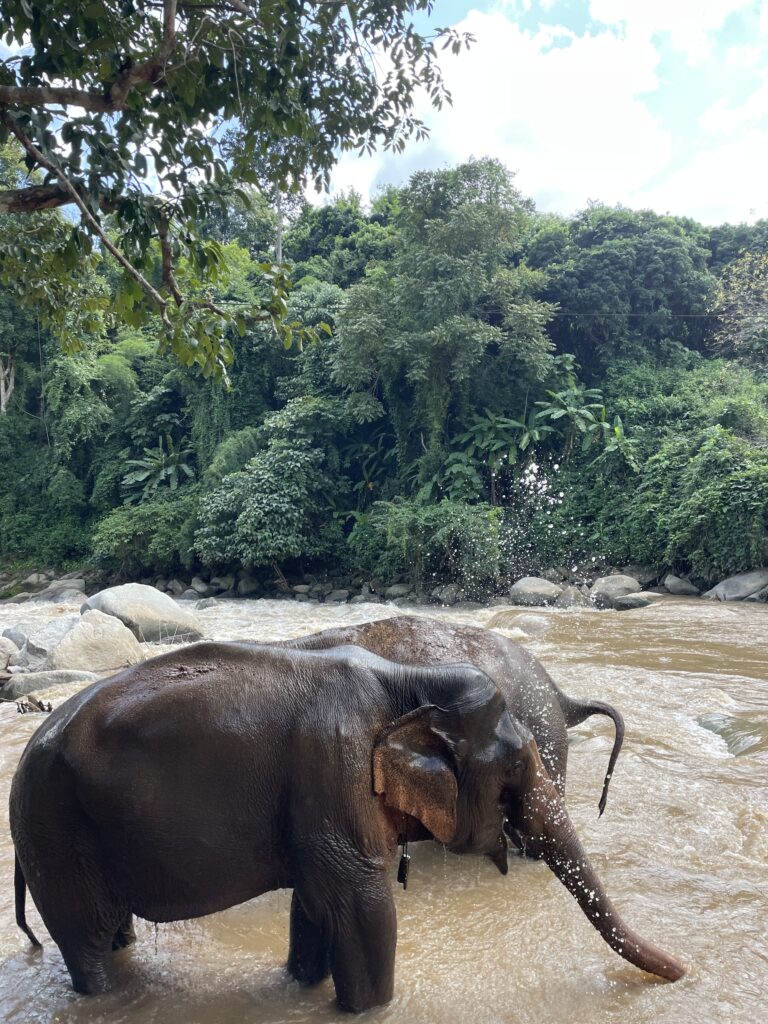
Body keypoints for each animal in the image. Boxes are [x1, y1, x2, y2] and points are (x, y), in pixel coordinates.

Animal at [12, 638, 684, 1007]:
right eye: (516, 770)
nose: (687, 970)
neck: (405, 682)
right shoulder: (333, 769)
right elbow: (361, 905)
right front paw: (366, 1008)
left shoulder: (316, 804)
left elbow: (313, 906)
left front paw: (302, 989)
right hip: (54, 834)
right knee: (86, 940)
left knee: (112, 932)